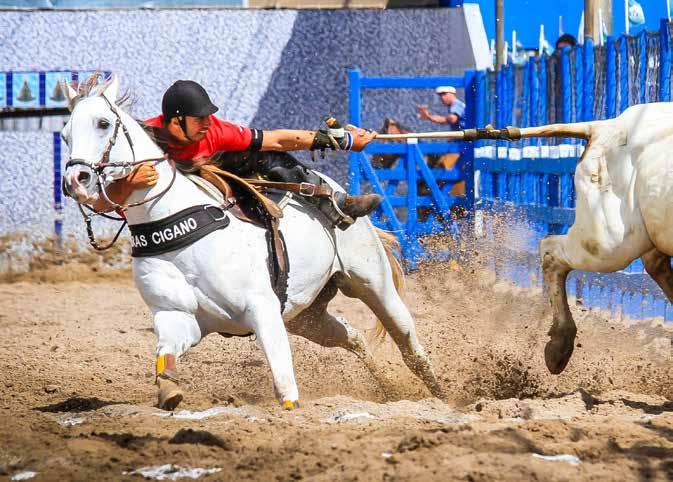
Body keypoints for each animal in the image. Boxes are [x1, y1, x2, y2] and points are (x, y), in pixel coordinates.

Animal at [59, 76, 446, 410]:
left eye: (103, 123)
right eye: (64, 134)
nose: (76, 180)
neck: (178, 223)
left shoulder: (261, 308)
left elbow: (282, 375)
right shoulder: (175, 316)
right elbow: (165, 355)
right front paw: (169, 391)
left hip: (372, 284)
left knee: (409, 345)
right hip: (306, 314)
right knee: (353, 337)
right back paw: (388, 389)